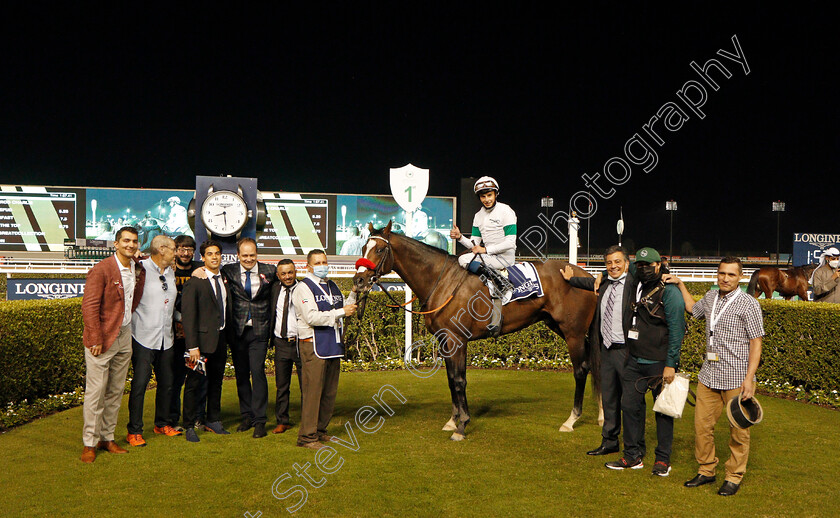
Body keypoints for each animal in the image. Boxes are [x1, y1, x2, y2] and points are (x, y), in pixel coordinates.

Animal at [352, 222, 596, 442]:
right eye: (364, 247)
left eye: (380, 249)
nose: (359, 280)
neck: (442, 281)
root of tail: (587, 276)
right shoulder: (444, 339)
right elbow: (452, 379)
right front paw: (453, 421)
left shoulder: (456, 339)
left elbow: (460, 380)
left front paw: (462, 426)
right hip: (558, 326)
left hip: (573, 332)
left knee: (581, 370)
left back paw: (571, 420)